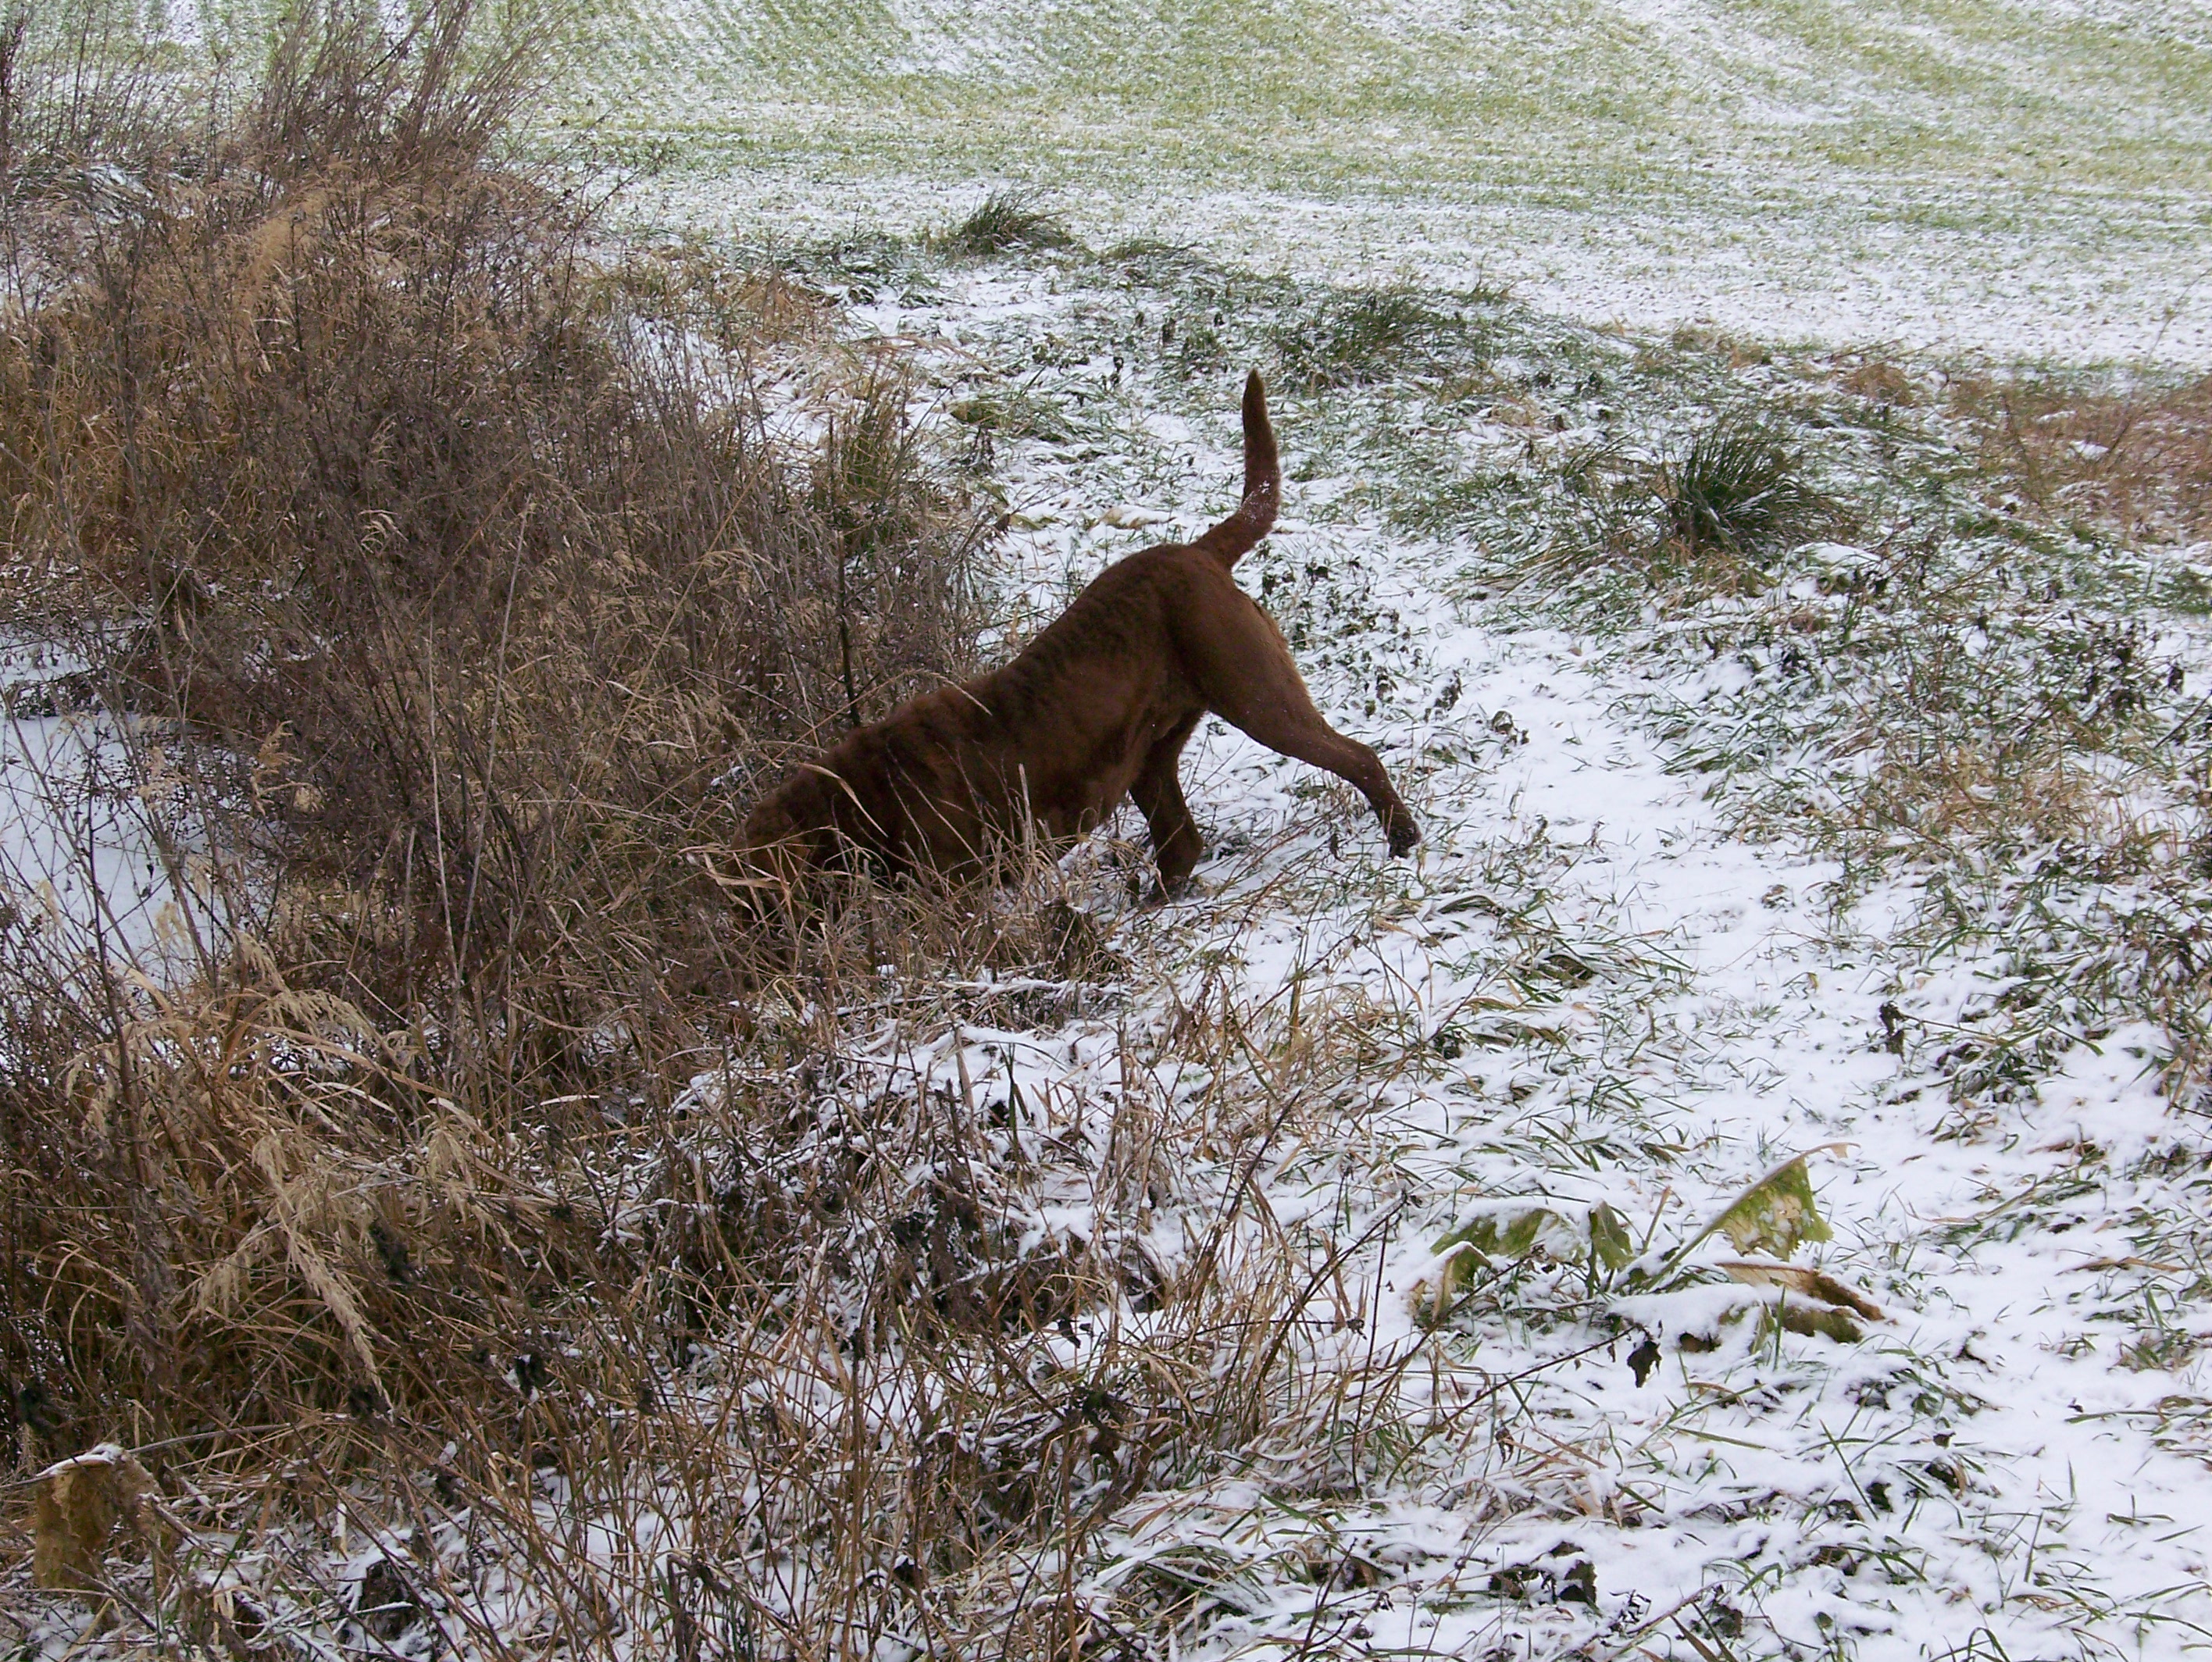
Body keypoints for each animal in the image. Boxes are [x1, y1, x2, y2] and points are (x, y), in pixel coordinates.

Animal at [738, 369, 1415, 903]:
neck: (870, 793)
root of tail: (1199, 552)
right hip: (1152, 752)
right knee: (1181, 841)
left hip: (1255, 694)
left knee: (1358, 756)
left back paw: (1402, 839)